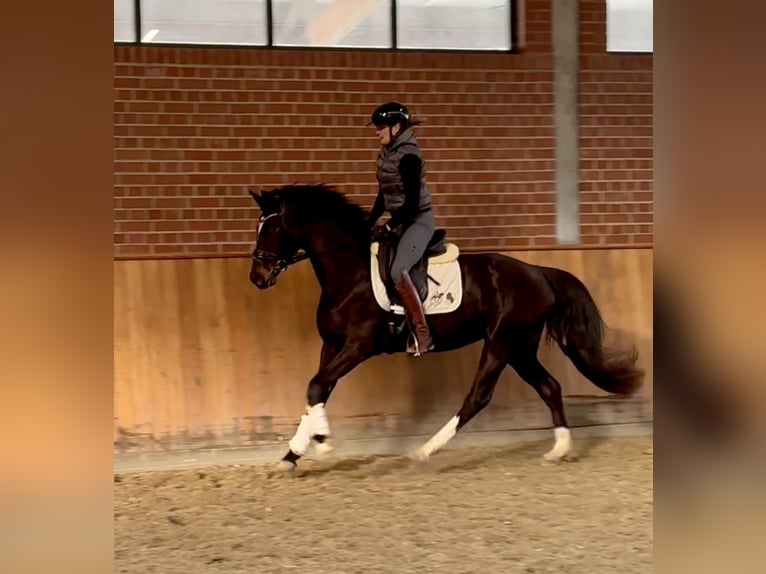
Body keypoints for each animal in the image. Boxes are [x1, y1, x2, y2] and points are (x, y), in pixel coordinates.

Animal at [249, 184, 644, 472]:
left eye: (273, 227)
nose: (257, 277)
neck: (350, 273)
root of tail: (538, 273)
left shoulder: (358, 346)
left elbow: (317, 386)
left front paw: (323, 445)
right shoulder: (331, 346)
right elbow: (317, 390)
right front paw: (293, 454)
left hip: (501, 342)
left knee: (478, 396)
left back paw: (424, 451)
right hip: (520, 346)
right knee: (550, 387)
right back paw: (559, 450)